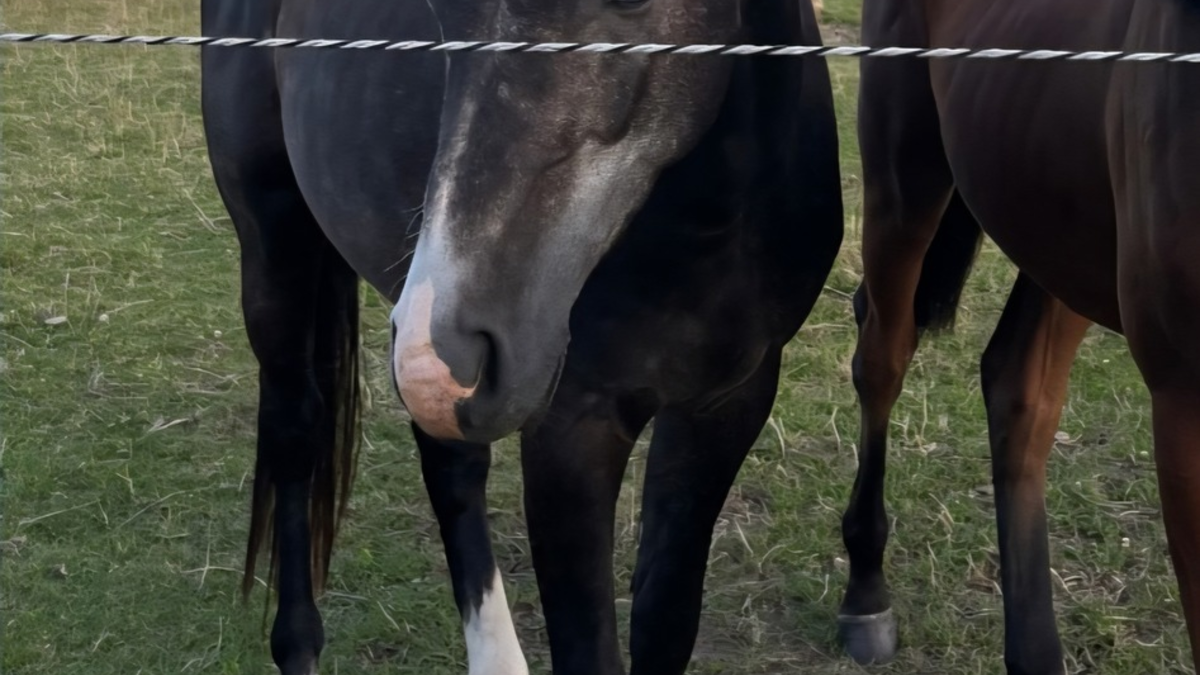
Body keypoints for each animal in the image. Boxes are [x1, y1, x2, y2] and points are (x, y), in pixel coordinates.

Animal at [199, 0, 843, 673]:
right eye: (437, 15)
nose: (446, 342)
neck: (707, 230)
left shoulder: (726, 405)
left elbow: (666, 621)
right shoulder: (572, 430)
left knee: (449, 466)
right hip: (275, 236)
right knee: (295, 428)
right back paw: (298, 643)